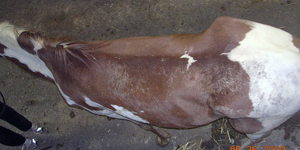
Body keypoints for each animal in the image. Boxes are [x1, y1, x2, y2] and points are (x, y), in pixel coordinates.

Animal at [0, 16, 300, 149]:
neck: (59, 63)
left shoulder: (106, 108)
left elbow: (144, 125)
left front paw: (163, 139)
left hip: (257, 121)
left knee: (259, 136)